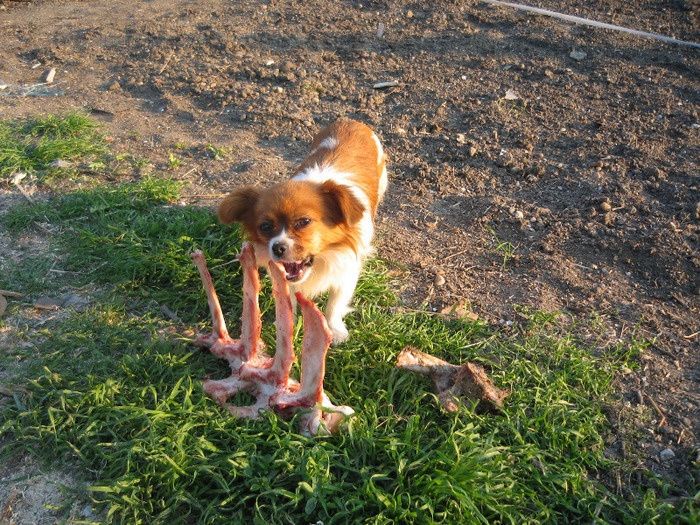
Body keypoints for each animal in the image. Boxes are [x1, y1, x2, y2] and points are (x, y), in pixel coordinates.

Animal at [219, 121, 388, 346]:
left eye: (303, 222)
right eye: (265, 227)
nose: (278, 247)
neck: (323, 259)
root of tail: (350, 121)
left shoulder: (346, 272)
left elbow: (334, 304)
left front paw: (336, 330)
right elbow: (288, 300)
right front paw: (285, 325)